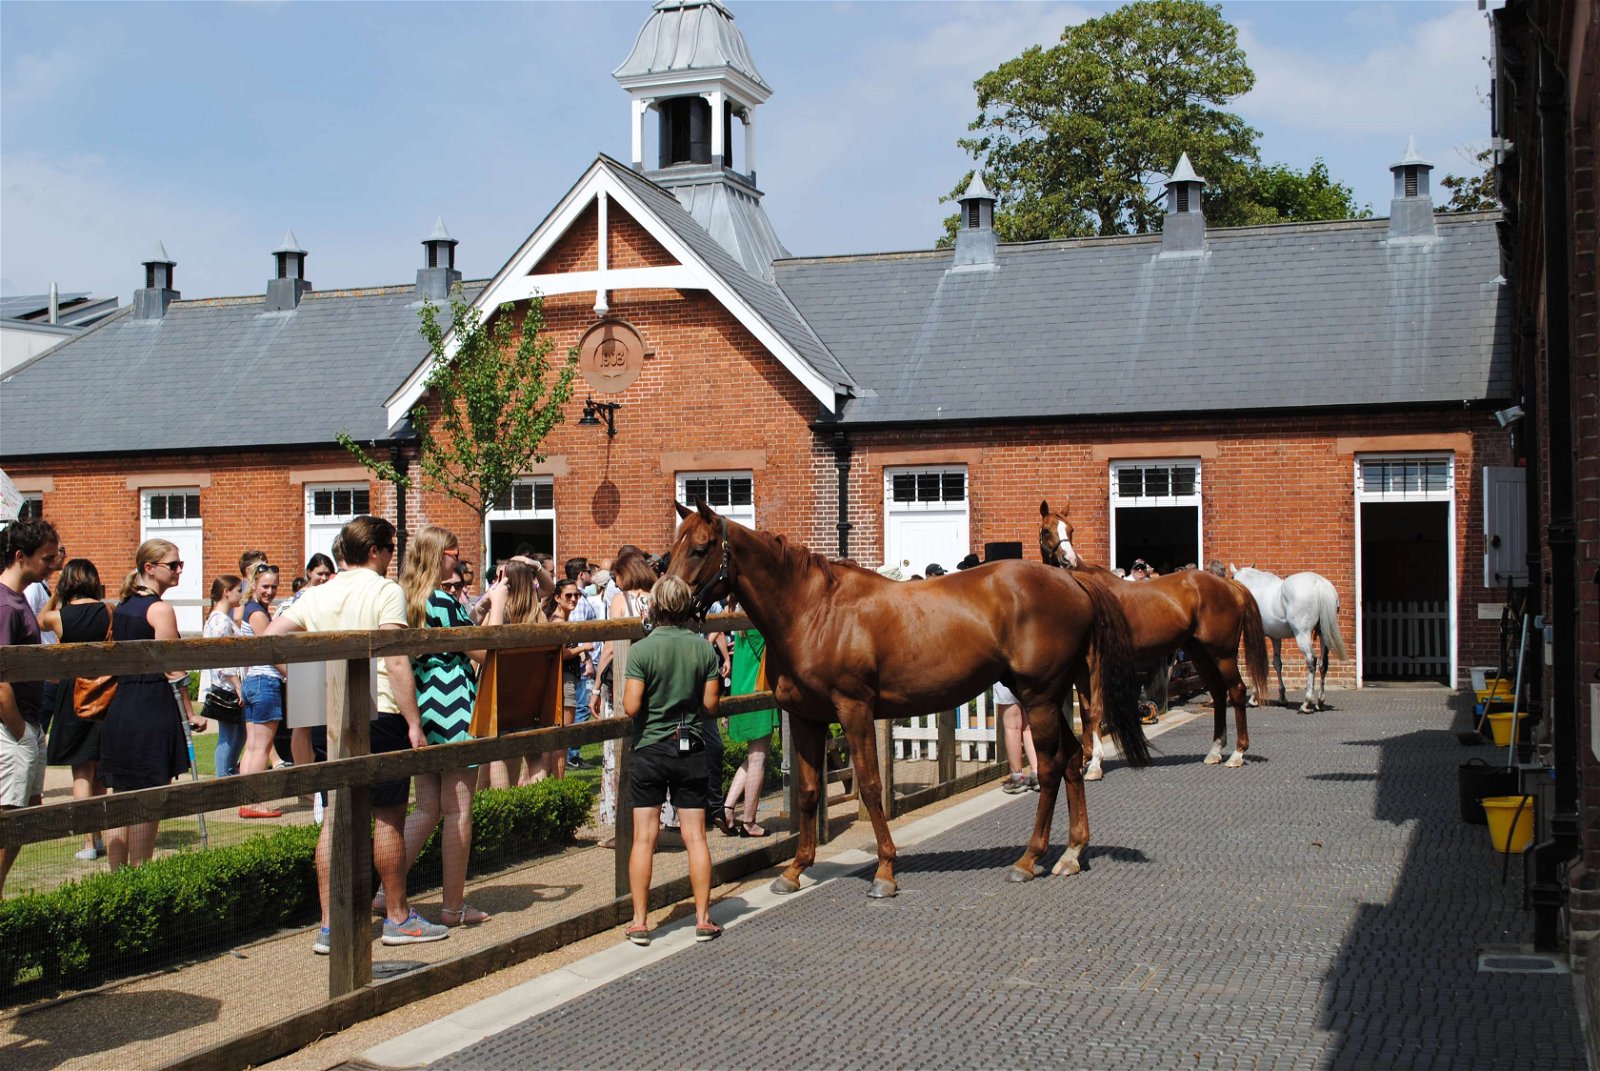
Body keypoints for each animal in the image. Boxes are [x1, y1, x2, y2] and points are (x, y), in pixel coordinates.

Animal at [665, 500, 1150, 896]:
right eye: (671, 548)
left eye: (701, 548)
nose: (664, 605)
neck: (814, 611)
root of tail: (1073, 581)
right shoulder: (807, 718)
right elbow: (808, 791)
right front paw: (795, 870)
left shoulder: (854, 709)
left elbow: (871, 784)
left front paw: (884, 870)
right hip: (1045, 696)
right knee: (1071, 757)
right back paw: (1071, 853)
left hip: (1040, 696)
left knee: (1050, 767)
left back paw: (1029, 859)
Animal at [1038, 500, 1271, 771]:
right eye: (1046, 530)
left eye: (1071, 529)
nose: (1068, 560)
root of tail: (1230, 585)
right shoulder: (1080, 667)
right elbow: (1085, 710)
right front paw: (1085, 758)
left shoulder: (1095, 661)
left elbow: (1095, 708)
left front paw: (1095, 763)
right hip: (1199, 652)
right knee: (1217, 691)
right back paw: (1214, 751)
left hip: (1223, 653)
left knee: (1236, 690)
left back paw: (1237, 753)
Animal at [1227, 565, 1348, 713]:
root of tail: (1319, 583)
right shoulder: (1275, 637)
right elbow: (1277, 663)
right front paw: (1282, 698)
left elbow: (1256, 663)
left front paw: (1254, 698)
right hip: (1323, 633)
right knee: (1323, 663)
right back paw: (1320, 702)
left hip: (1302, 634)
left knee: (1311, 660)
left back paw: (1307, 703)